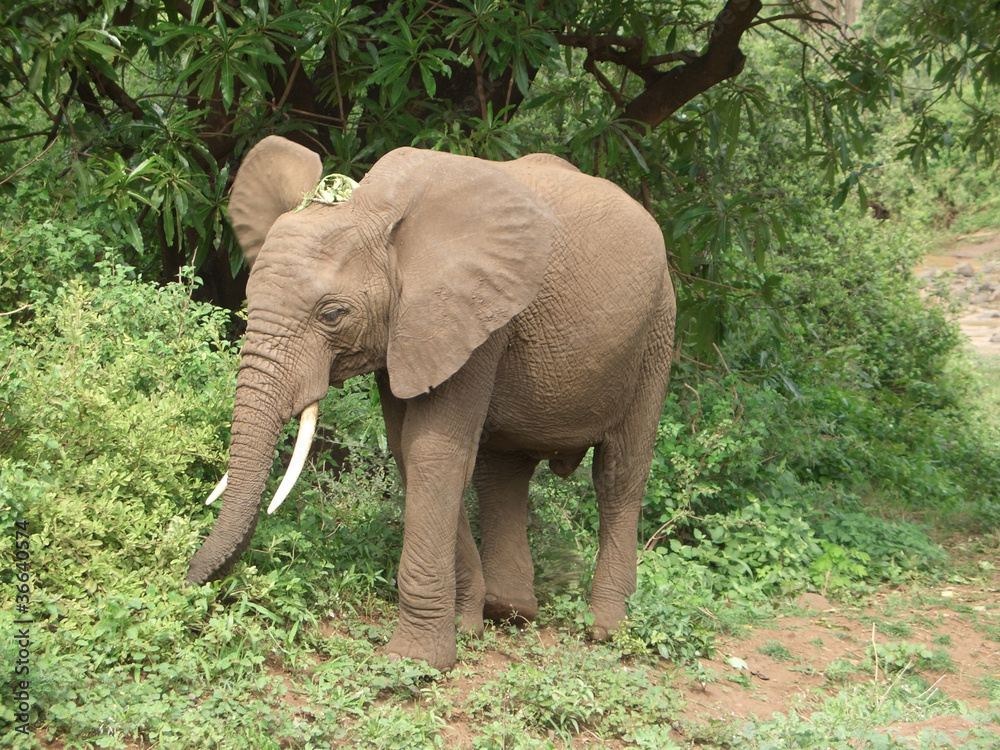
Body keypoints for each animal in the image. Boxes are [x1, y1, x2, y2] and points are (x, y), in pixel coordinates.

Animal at [188, 135, 676, 668]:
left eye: (332, 314)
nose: (189, 580)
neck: (378, 212)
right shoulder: (409, 330)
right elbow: (410, 450)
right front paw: (464, 629)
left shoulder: (473, 314)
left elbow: (432, 452)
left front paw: (415, 661)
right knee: (502, 472)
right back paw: (510, 612)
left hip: (658, 327)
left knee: (619, 474)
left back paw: (606, 629)